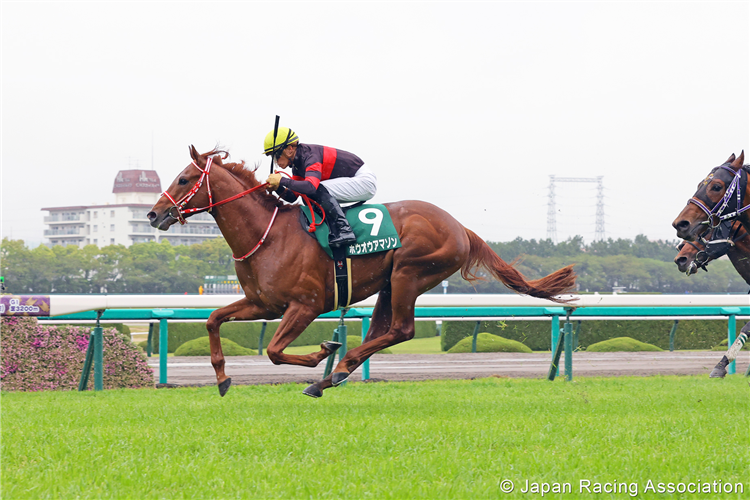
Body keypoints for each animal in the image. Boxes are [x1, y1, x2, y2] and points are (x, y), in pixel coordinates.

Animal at [148, 146, 577, 397]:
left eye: (184, 179)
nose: (154, 214)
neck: (268, 235)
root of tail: (460, 227)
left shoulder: (305, 305)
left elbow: (274, 350)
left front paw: (323, 351)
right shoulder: (263, 304)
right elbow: (213, 320)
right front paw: (222, 378)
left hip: (409, 273)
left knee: (401, 330)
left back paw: (334, 370)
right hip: (390, 283)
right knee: (383, 330)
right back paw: (333, 375)